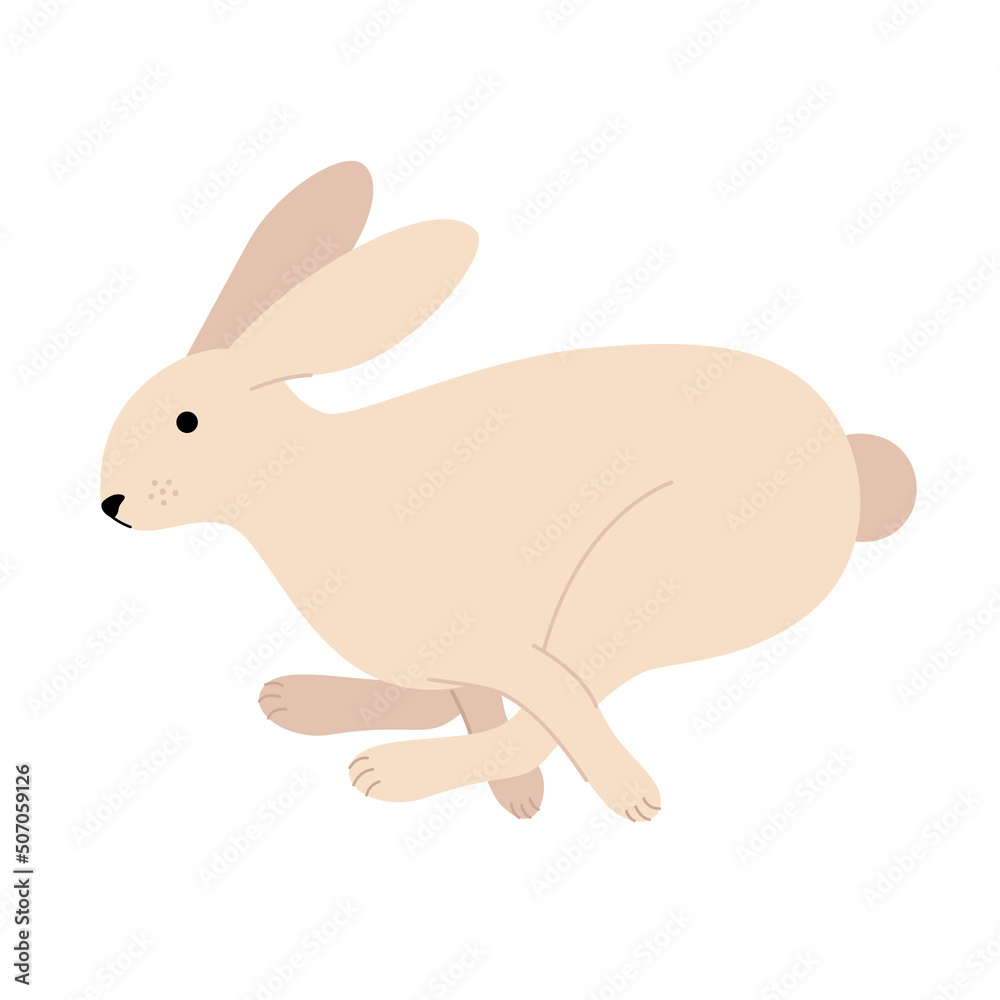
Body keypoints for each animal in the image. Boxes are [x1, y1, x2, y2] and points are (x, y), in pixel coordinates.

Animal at [100, 162, 916, 822]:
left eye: (186, 421)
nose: (111, 507)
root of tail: (847, 463)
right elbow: (474, 701)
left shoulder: (505, 645)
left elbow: (546, 703)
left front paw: (618, 796)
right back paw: (300, 701)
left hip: (638, 576)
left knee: (565, 696)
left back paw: (402, 772)